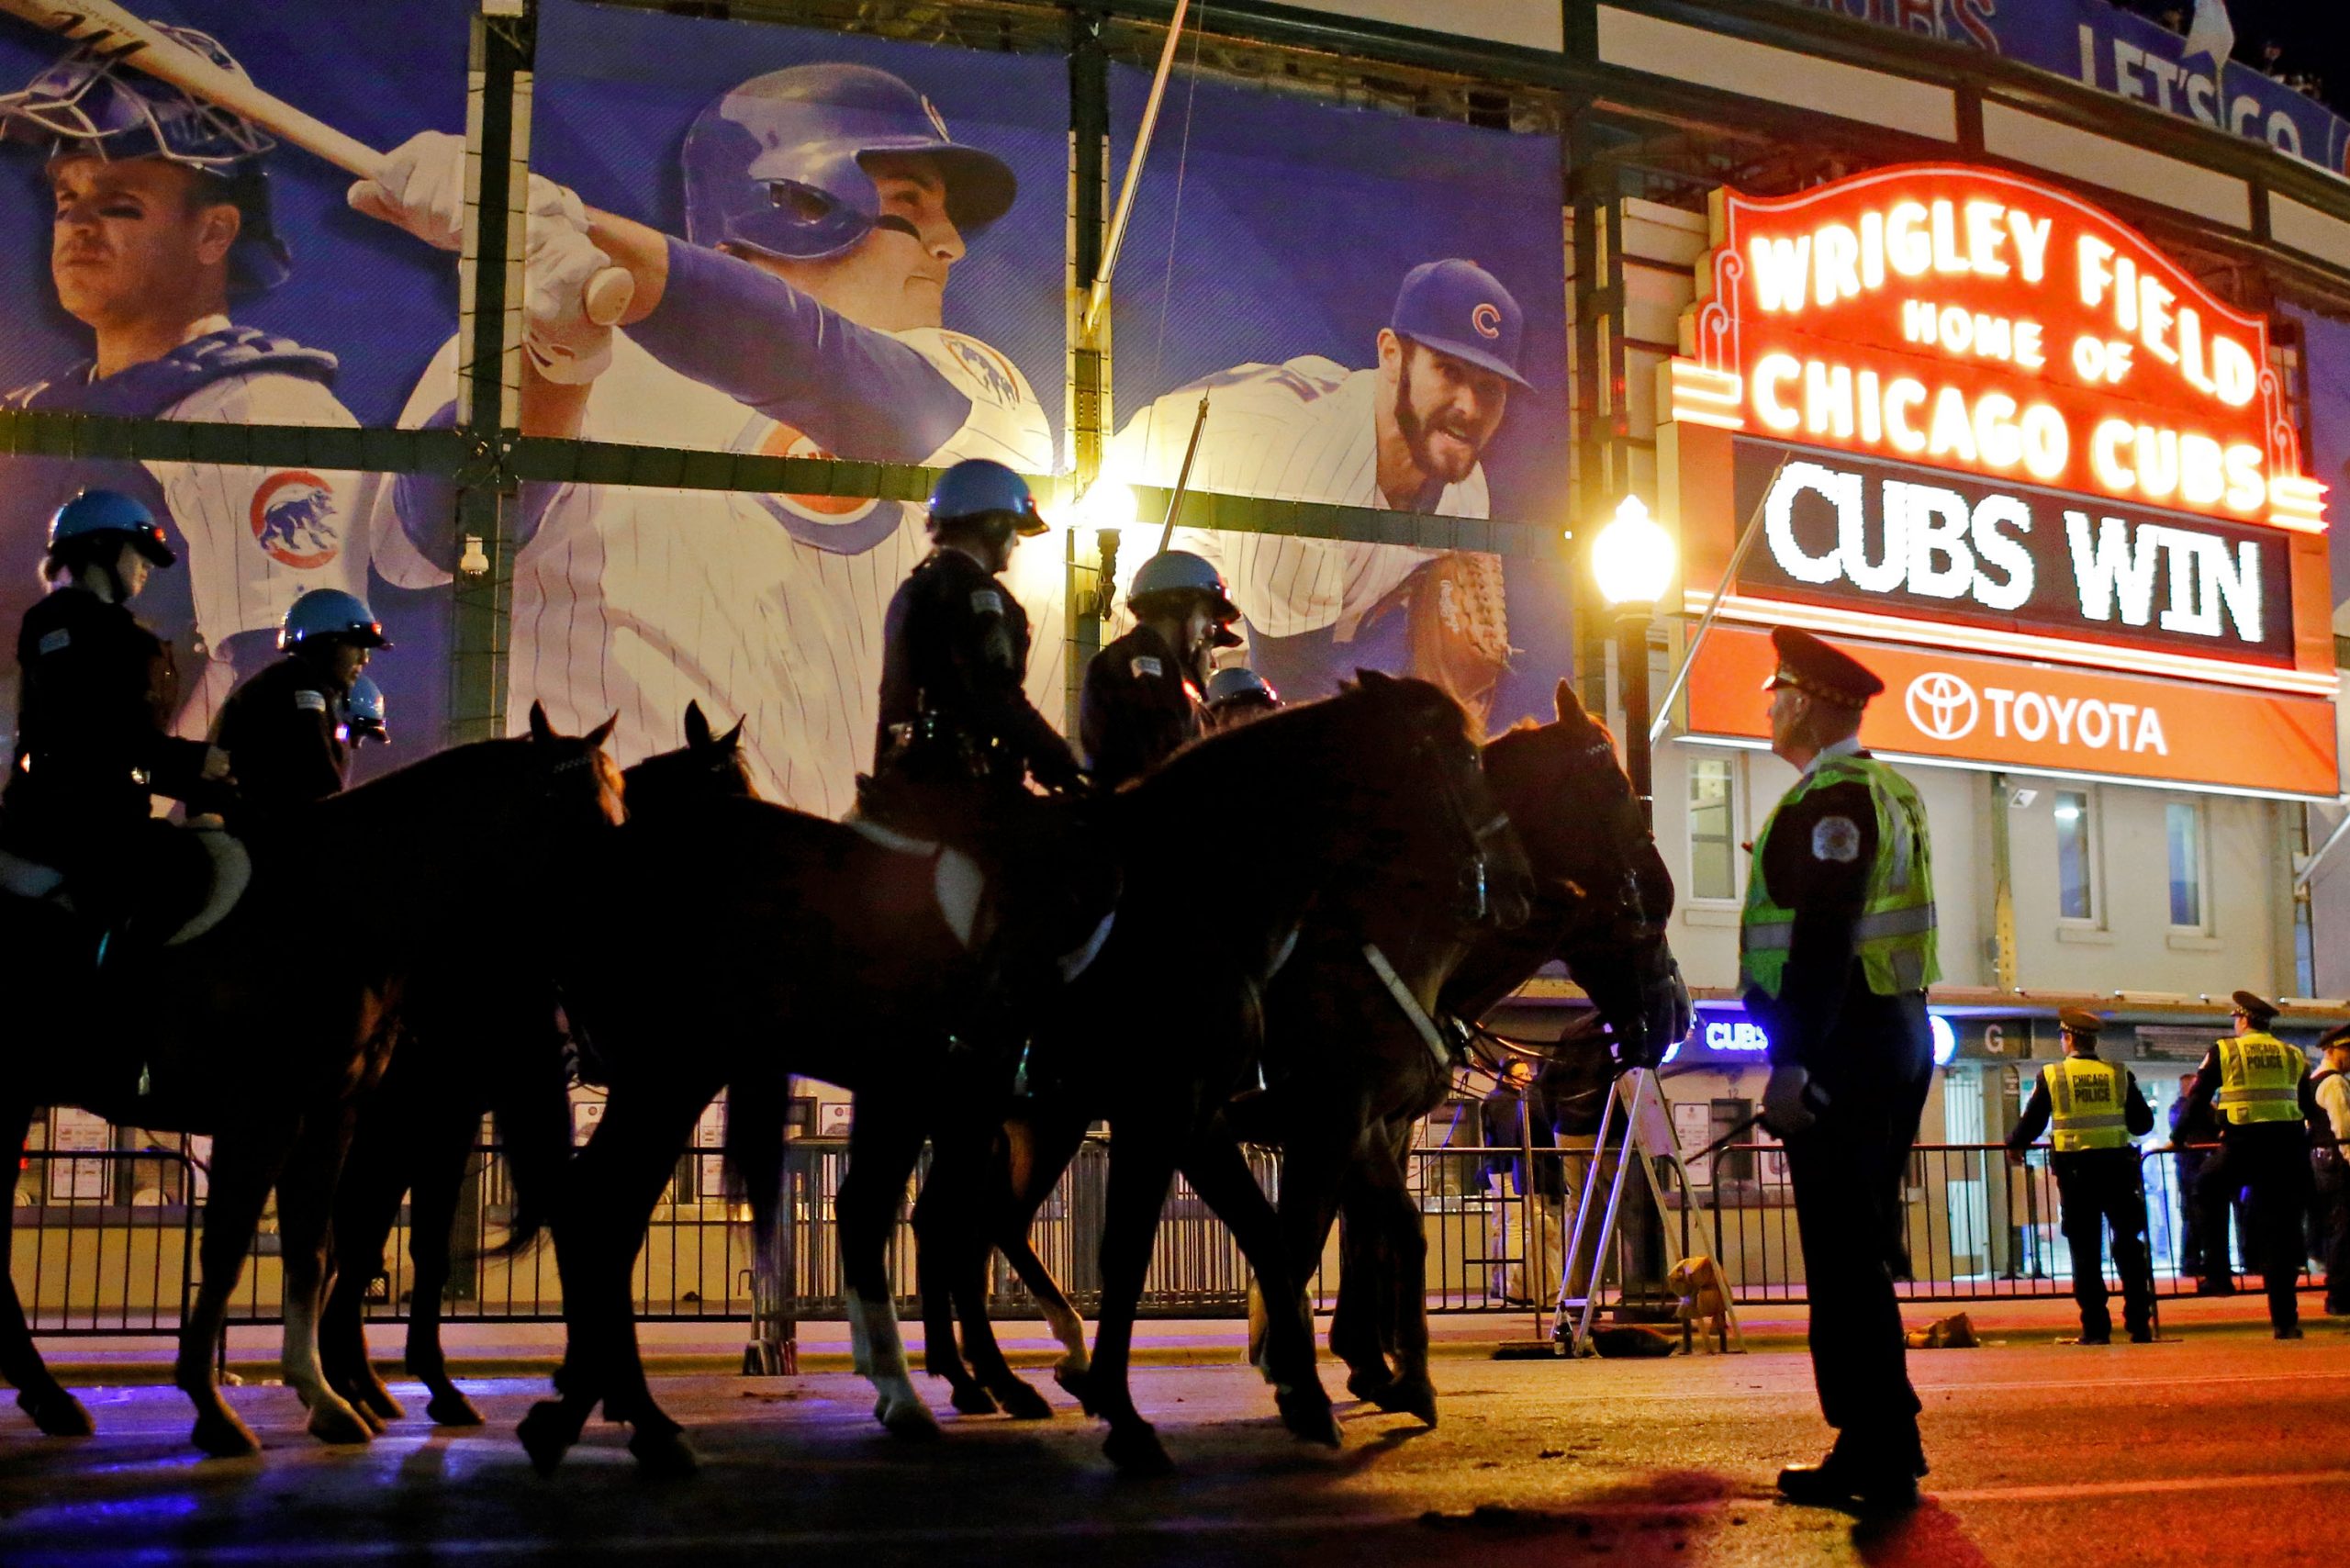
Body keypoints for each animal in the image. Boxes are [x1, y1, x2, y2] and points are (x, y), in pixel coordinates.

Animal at [0, 705, 624, 1456]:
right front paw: (214, 1406)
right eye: (571, 812)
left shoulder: (339, 1115)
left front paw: (326, 1394)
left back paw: (50, 1397)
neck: (339, 910)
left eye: (620, 811)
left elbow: (316, 1245)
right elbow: (234, 1246)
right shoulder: (271, 1114)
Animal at [915, 680, 1685, 1433]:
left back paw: (992, 1374)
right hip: (1036, 1117)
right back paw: (1020, 1367)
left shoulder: (1370, 1123)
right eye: (1615, 785)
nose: (1674, 1016)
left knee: (966, 1224)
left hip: (1030, 1119)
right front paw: (1305, 1359)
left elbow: (1367, 1231)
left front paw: (1366, 1361)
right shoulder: (1329, 1116)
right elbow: (1312, 1235)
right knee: (971, 1225)